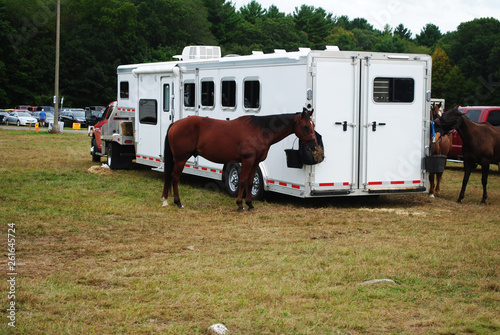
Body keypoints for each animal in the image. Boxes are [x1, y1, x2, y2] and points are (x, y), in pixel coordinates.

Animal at [161, 109, 324, 211]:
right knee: (174, 177)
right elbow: (242, 181)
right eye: (305, 126)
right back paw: (178, 202)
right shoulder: (247, 160)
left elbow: (251, 182)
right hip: (181, 158)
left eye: (313, 125)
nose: (314, 146)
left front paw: (250, 204)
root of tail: (175, 123)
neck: (260, 131)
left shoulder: (255, 162)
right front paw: (240, 205)